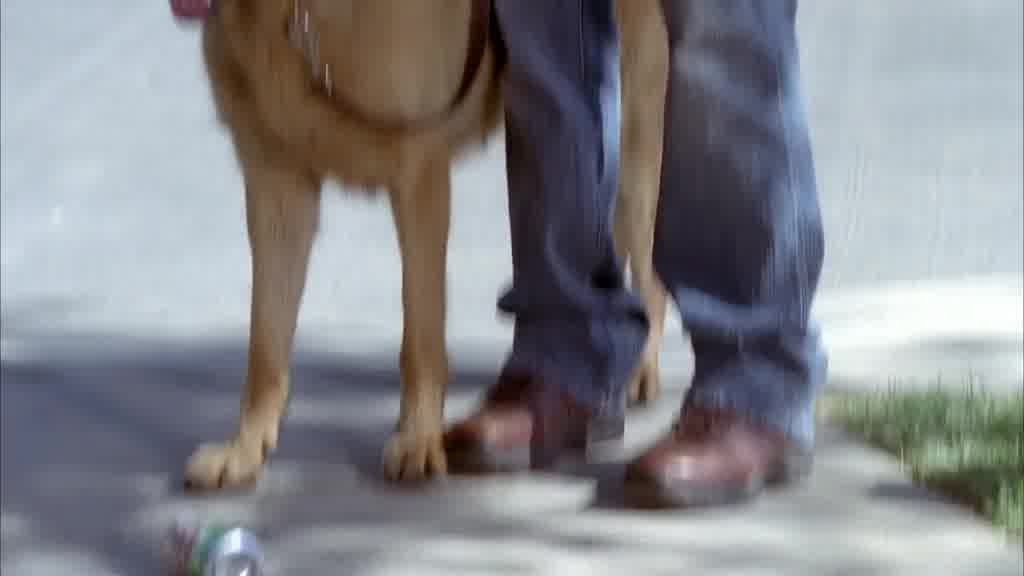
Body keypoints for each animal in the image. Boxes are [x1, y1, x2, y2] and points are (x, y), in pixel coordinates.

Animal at [174, 0, 671, 487]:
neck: (292, 13)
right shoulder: (276, 185)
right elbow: (265, 346)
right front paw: (244, 451)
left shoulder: (418, 170)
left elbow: (420, 335)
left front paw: (418, 440)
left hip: (633, 148)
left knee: (652, 275)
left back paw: (639, 370)